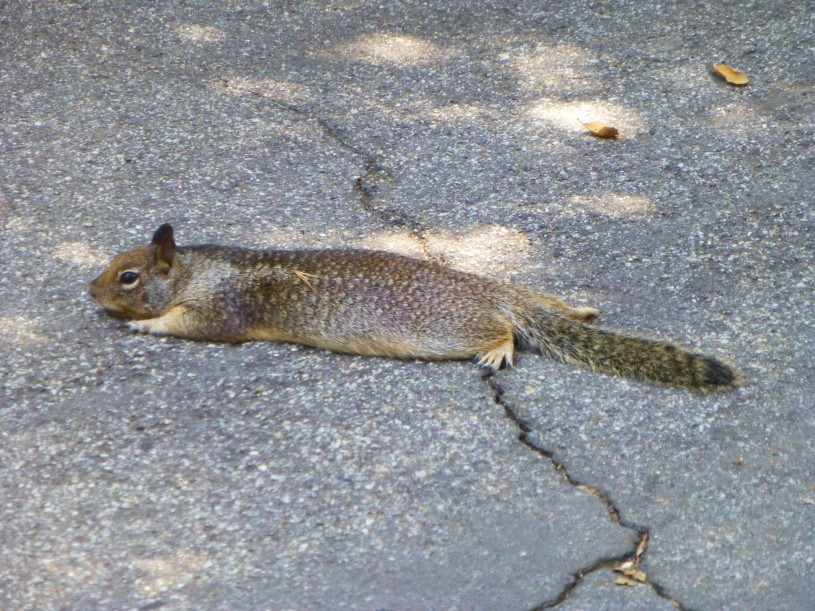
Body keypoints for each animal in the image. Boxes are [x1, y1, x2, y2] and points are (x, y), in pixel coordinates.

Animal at [89, 224, 741, 391]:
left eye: (127, 276)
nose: (89, 293)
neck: (198, 268)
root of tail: (489, 290)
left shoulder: (221, 309)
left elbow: (192, 324)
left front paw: (148, 325)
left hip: (448, 330)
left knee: (502, 329)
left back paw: (499, 349)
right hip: (515, 290)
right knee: (542, 301)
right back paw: (577, 310)